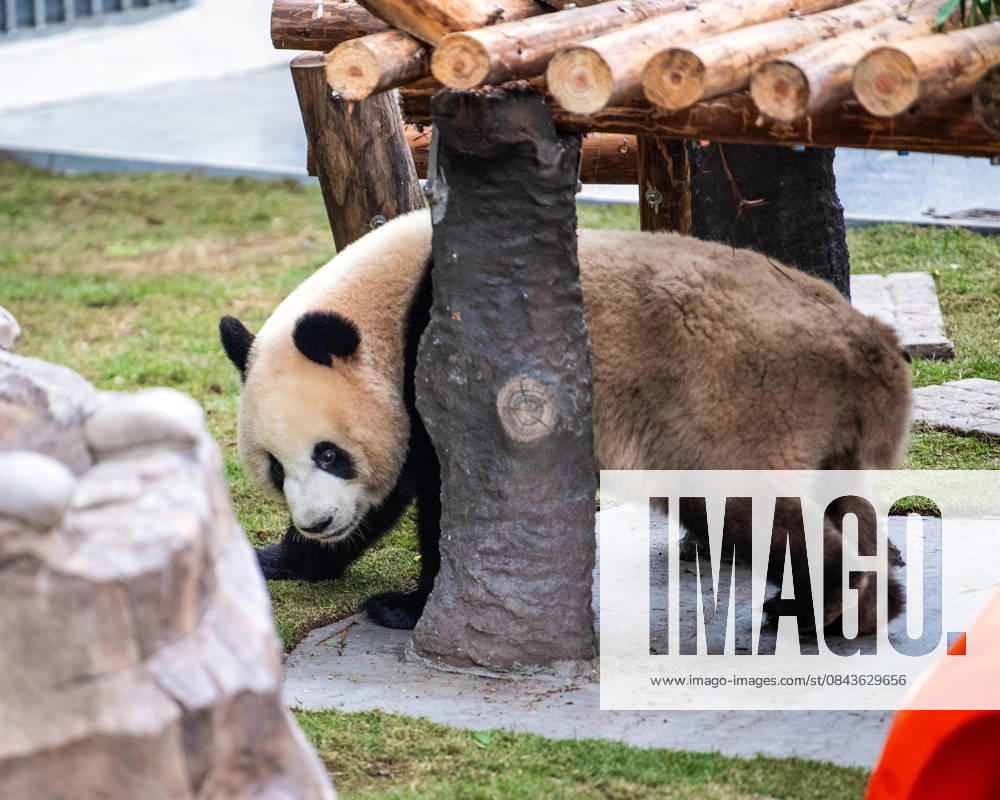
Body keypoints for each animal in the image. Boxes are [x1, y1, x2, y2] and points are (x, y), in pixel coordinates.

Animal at [219, 208, 911, 631]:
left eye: (329, 453)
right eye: (276, 468)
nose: (317, 521)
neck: (391, 300)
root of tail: (869, 350)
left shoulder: (455, 367)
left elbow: (448, 499)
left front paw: (404, 607)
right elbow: (393, 495)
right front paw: (279, 559)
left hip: (742, 400)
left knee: (750, 507)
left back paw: (828, 608)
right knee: (840, 501)